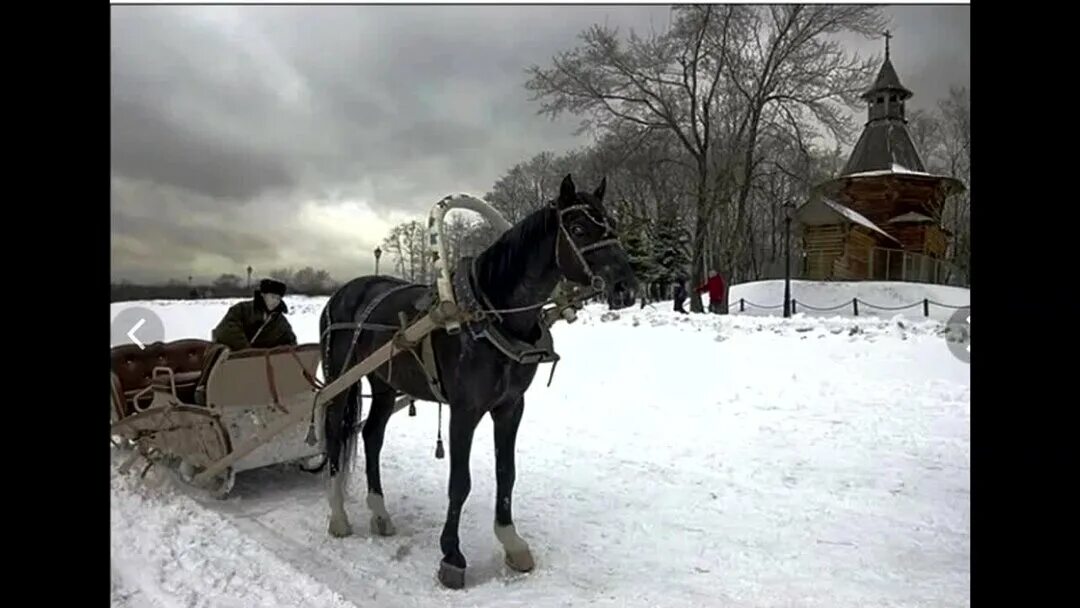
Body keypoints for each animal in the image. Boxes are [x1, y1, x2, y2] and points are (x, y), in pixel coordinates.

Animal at [319, 174, 635, 591]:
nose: (626, 287)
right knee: (335, 431)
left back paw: (380, 512)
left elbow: (507, 473)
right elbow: (460, 482)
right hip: (340, 379)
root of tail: (343, 293)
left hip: (385, 384)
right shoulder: (465, 410)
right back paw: (338, 515)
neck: (489, 314)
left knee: (372, 436)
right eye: (580, 228)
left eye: (612, 224)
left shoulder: (510, 407)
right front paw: (452, 555)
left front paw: (512, 541)